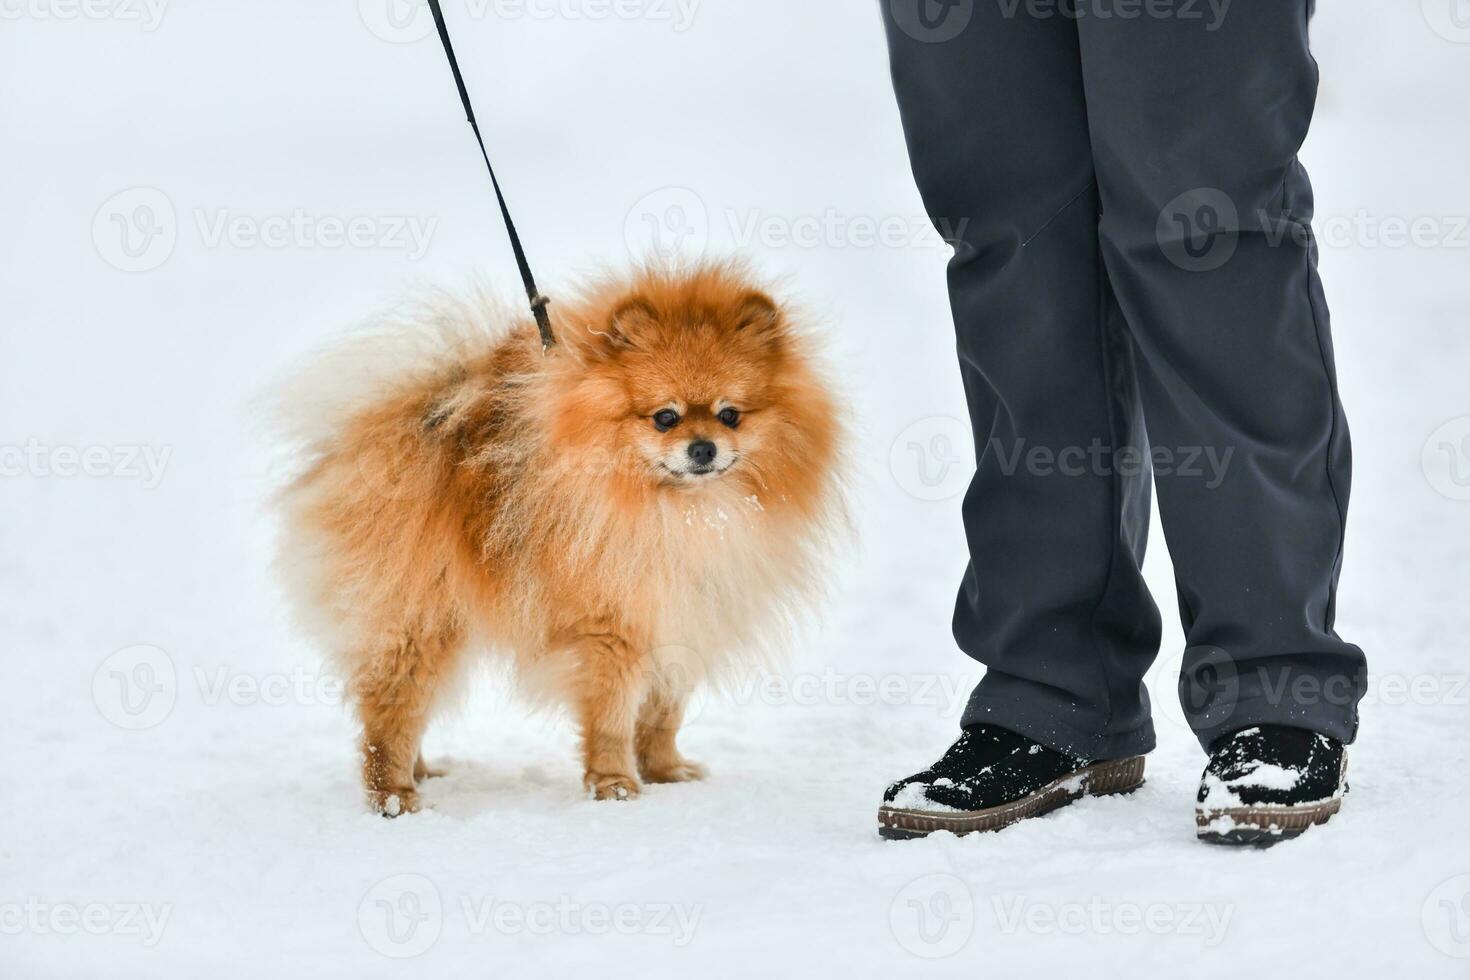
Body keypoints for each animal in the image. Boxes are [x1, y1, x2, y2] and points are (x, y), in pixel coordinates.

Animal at [274, 260, 846, 811]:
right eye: (665, 417)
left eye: (730, 415)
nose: (702, 448)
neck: (685, 514)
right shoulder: (612, 625)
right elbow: (612, 717)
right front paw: (615, 785)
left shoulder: (686, 612)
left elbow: (663, 713)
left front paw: (665, 771)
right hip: (418, 616)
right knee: (391, 709)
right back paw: (393, 795)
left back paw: (420, 772)